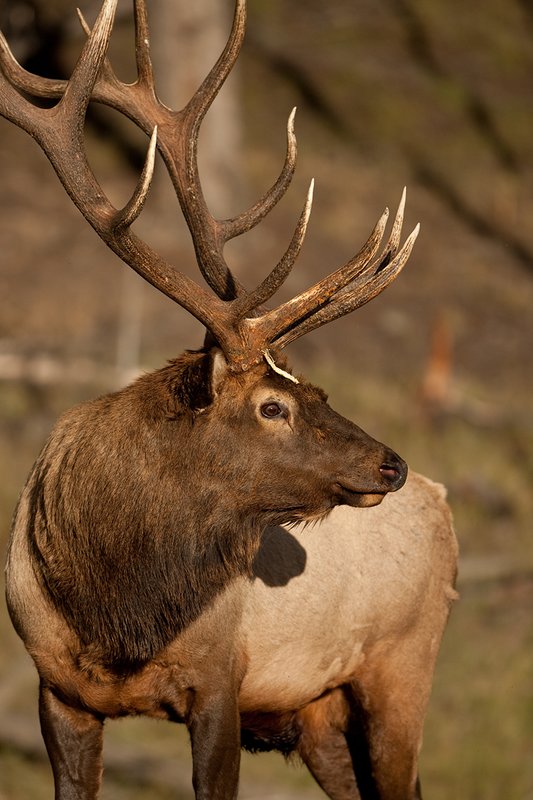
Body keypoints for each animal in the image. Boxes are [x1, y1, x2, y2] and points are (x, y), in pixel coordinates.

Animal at [0, 1, 458, 798]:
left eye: (316, 389)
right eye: (273, 405)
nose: (389, 465)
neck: (113, 612)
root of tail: (449, 512)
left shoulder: (220, 682)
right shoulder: (55, 688)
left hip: (403, 667)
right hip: (320, 717)